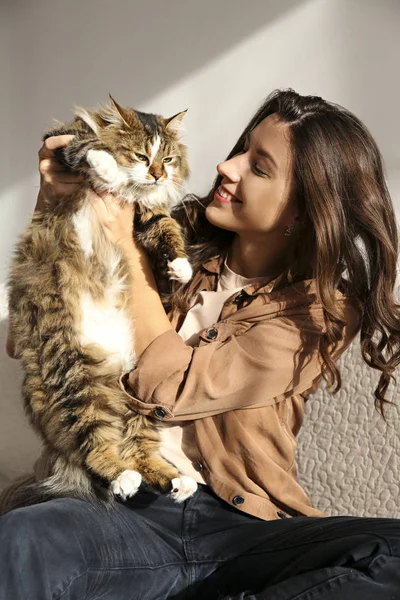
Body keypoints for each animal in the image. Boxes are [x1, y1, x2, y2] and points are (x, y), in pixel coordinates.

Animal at [7, 96, 198, 508]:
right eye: (142, 156)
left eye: (168, 159)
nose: (157, 176)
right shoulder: (60, 140)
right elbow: (85, 148)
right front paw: (107, 168)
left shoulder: (149, 214)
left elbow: (168, 230)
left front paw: (181, 268)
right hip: (78, 382)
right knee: (98, 451)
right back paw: (125, 480)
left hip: (137, 395)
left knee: (138, 452)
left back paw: (177, 482)